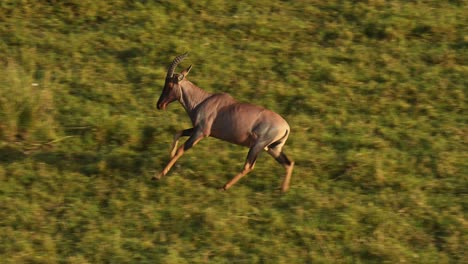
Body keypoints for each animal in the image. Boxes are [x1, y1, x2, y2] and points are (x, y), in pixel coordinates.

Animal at [154, 52, 294, 192]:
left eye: (170, 85)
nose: (159, 105)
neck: (203, 100)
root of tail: (286, 127)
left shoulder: (201, 133)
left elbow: (181, 149)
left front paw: (158, 175)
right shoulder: (198, 129)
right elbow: (178, 133)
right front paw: (170, 154)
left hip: (257, 146)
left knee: (248, 166)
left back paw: (224, 187)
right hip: (273, 148)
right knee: (288, 163)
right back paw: (283, 190)